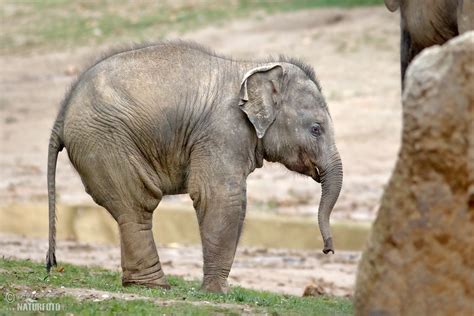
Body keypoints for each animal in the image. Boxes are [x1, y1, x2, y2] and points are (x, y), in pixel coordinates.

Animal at [46, 40, 342, 292]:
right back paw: (154, 286)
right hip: (105, 140)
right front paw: (216, 292)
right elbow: (221, 197)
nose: (328, 250)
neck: (252, 68)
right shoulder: (222, 132)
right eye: (316, 129)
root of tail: (61, 114)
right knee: (137, 205)